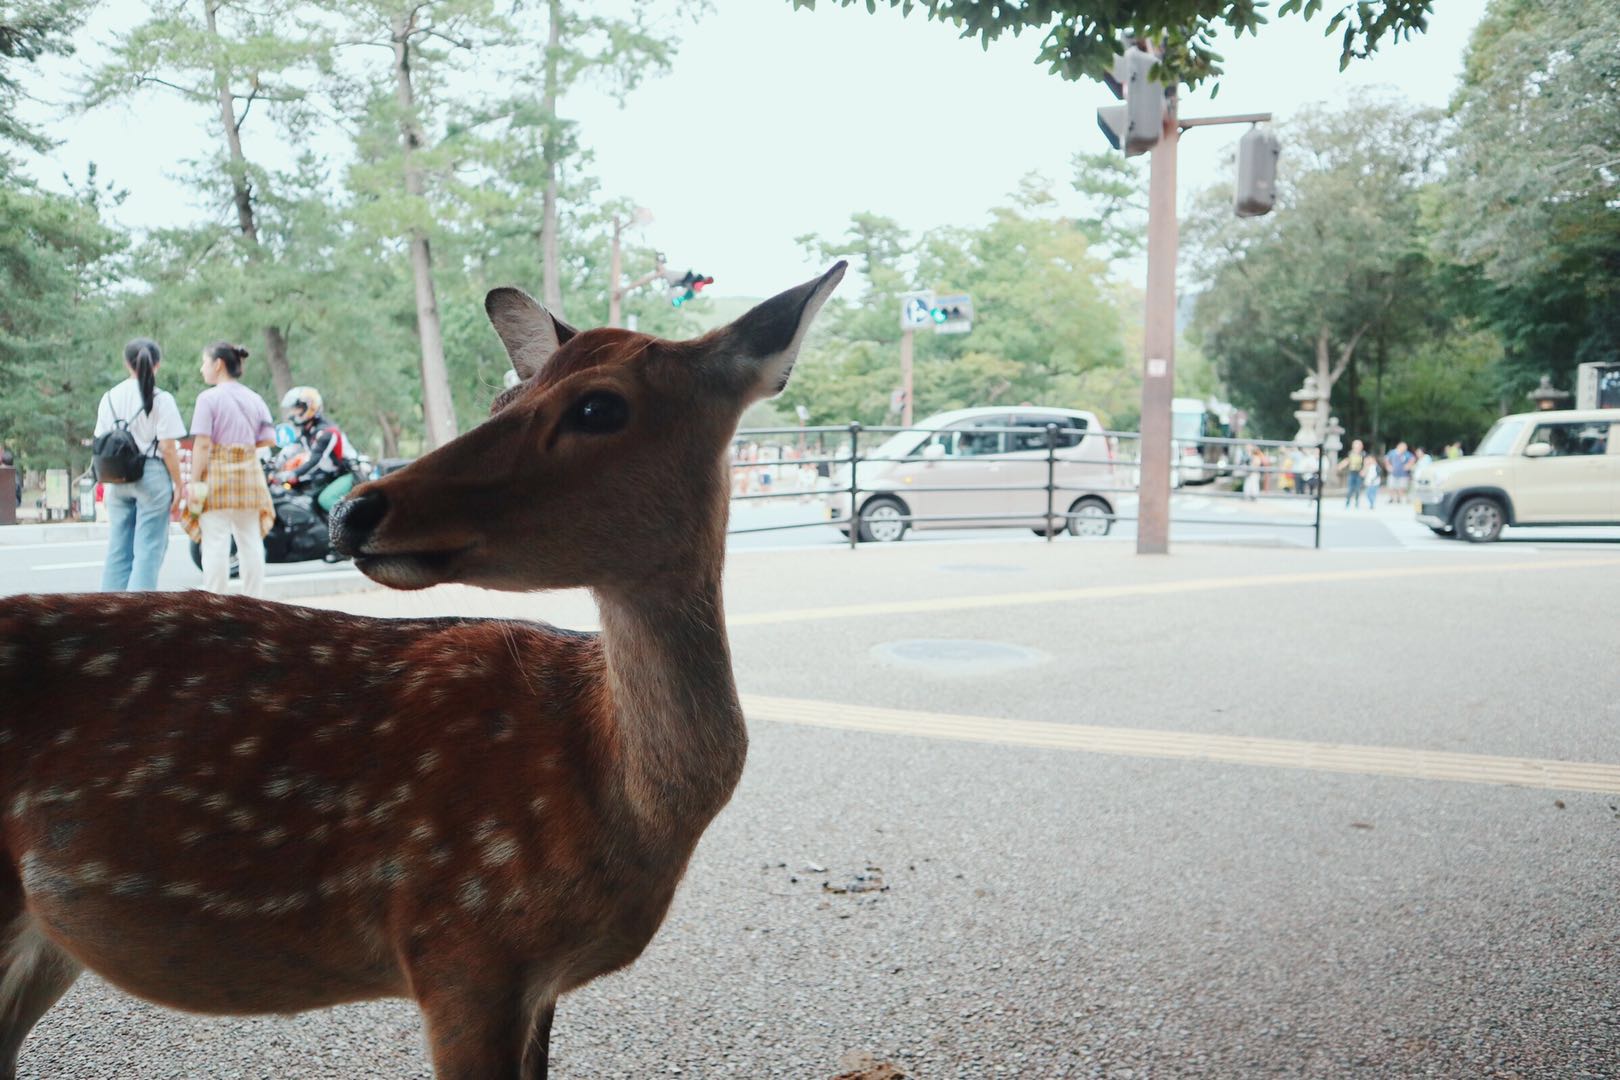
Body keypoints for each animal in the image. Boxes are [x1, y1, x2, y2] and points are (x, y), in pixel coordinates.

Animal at [0, 263, 855, 1080]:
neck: (624, 795)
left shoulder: (528, 978)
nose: (354, 513)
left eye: (598, 408)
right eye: (504, 396)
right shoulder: (460, 940)